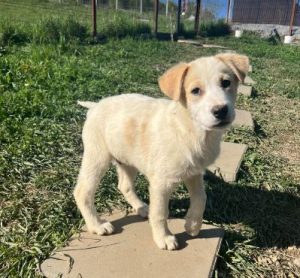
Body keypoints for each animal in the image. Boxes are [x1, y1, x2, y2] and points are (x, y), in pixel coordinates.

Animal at [74, 53, 250, 251]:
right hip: (97, 157)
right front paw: (164, 238)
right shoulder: (161, 182)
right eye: (195, 91)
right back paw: (97, 225)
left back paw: (142, 208)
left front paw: (193, 225)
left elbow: (201, 198)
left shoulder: (194, 173)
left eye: (226, 83)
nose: (220, 110)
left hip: (128, 160)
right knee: (82, 191)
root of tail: (96, 105)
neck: (191, 129)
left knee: (124, 185)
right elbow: (160, 212)